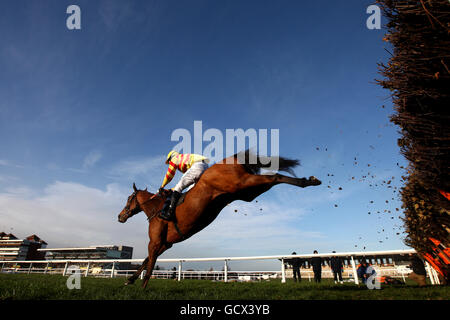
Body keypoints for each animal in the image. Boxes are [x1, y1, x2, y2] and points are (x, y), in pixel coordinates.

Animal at [116, 151, 320, 288]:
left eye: (128, 199)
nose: (120, 216)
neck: (156, 209)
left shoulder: (155, 242)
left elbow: (149, 263)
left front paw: (142, 287)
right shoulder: (165, 244)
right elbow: (146, 261)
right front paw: (130, 280)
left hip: (241, 183)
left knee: (276, 176)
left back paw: (308, 181)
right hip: (246, 192)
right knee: (272, 179)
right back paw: (309, 181)